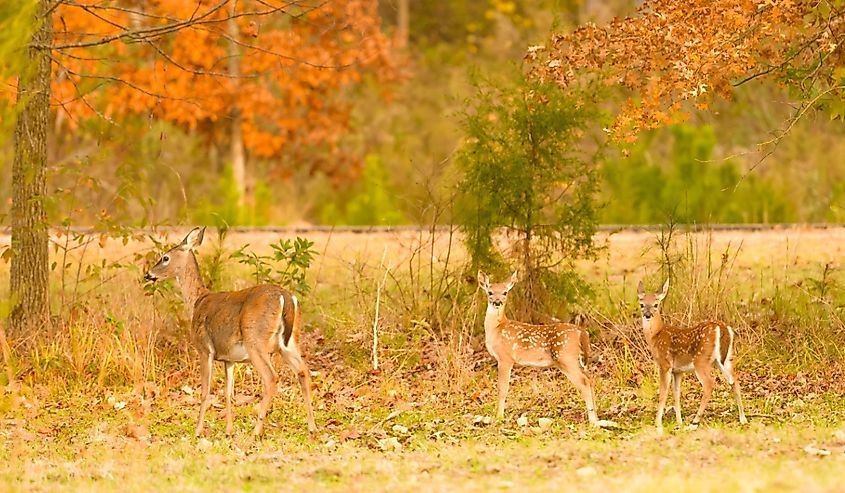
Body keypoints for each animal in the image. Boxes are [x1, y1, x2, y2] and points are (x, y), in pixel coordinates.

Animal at [145, 227, 316, 434]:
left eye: (165, 258)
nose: (148, 274)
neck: (197, 302)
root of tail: (286, 297)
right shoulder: (229, 358)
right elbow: (228, 393)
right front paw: (228, 430)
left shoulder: (205, 349)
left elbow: (205, 391)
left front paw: (198, 430)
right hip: (290, 342)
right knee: (303, 372)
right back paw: (312, 428)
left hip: (255, 340)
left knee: (271, 378)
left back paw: (256, 431)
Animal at [478, 270, 604, 424]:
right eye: (490, 292)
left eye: (505, 292)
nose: (497, 302)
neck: (497, 329)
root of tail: (581, 332)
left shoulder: (505, 358)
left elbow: (502, 389)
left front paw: (499, 417)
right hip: (575, 360)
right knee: (590, 379)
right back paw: (596, 417)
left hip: (565, 358)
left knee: (584, 382)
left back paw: (593, 421)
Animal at [636, 278, 748, 432]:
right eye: (641, 304)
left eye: (656, 304)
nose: (647, 315)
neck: (656, 336)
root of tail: (722, 327)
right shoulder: (677, 371)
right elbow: (676, 394)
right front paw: (679, 422)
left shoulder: (665, 364)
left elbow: (663, 392)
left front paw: (658, 423)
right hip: (726, 359)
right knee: (734, 381)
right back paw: (743, 418)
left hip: (701, 360)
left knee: (709, 384)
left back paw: (695, 421)